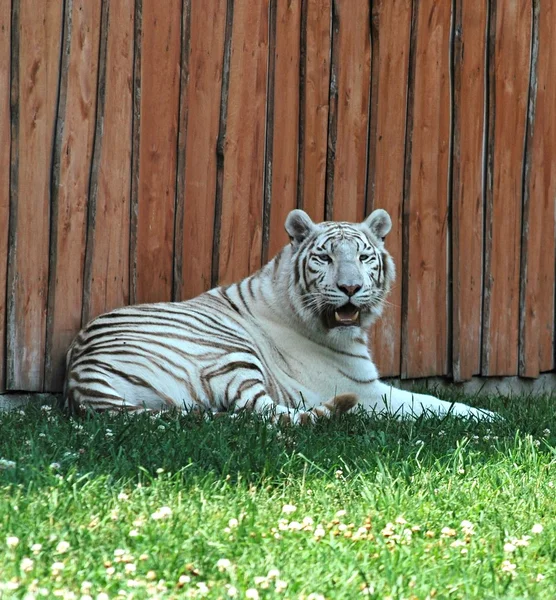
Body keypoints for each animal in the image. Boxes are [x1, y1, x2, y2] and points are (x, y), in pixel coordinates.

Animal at [65, 210, 496, 422]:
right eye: (325, 258)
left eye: (363, 257)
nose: (351, 287)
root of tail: (81, 376)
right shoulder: (367, 390)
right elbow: (432, 403)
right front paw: (489, 417)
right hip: (228, 353)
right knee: (265, 411)